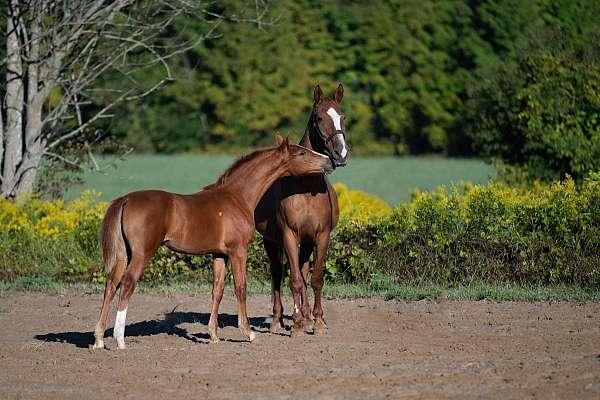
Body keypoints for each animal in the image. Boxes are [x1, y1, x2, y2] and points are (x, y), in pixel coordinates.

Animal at [92, 136, 332, 348]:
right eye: (301, 153)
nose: (328, 161)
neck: (236, 197)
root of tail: (125, 200)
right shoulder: (238, 251)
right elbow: (240, 287)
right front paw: (248, 332)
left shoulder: (219, 254)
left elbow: (217, 291)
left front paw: (213, 335)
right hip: (142, 254)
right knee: (126, 284)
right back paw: (120, 340)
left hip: (123, 254)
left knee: (110, 285)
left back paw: (99, 340)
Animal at [255, 84, 350, 334]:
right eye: (319, 118)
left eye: (343, 116)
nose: (341, 154)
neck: (307, 188)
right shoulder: (289, 234)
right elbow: (294, 279)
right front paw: (297, 324)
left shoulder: (321, 236)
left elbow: (315, 278)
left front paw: (317, 321)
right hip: (272, 240)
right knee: (278, 272)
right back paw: (278, 320)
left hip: (306, 241)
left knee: (303, 269)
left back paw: (307, 316)